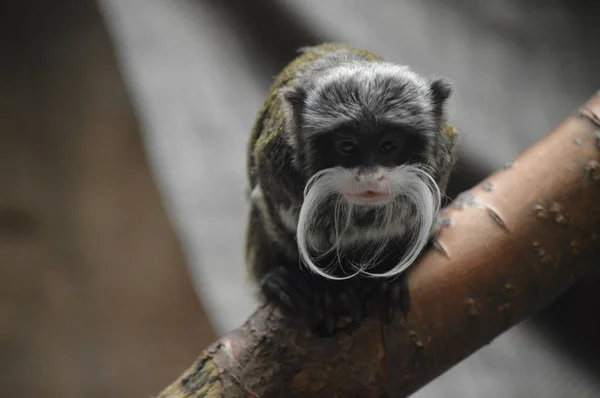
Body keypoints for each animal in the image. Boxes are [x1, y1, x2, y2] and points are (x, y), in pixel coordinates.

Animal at [244, 42, 454, 336]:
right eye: (347, 146)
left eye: (388, 145)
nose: (368, 177)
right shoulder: (274, 165)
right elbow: (270, 208)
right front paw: (326, 287)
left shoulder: (442, 160)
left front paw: (390, 275)